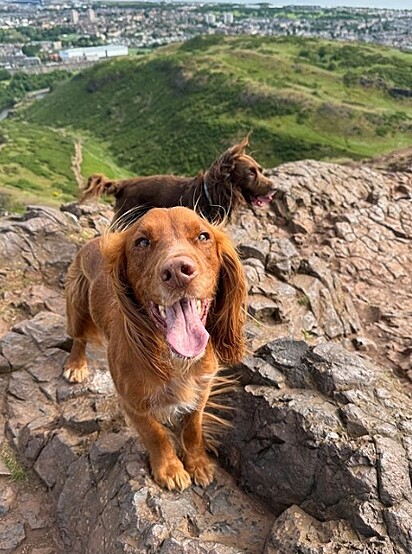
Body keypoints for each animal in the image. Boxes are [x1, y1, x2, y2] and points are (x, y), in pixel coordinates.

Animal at [62, 206, 246, 488]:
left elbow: (193, 428)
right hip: (77, 304)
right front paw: (170, 468)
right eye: (142, 242)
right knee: (79, 338)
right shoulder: (133, 402)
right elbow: (155, 433)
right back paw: (76, 365)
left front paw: (198, 463)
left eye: (203, 236)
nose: (178, 271)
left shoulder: (201, 389)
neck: (174, 356)